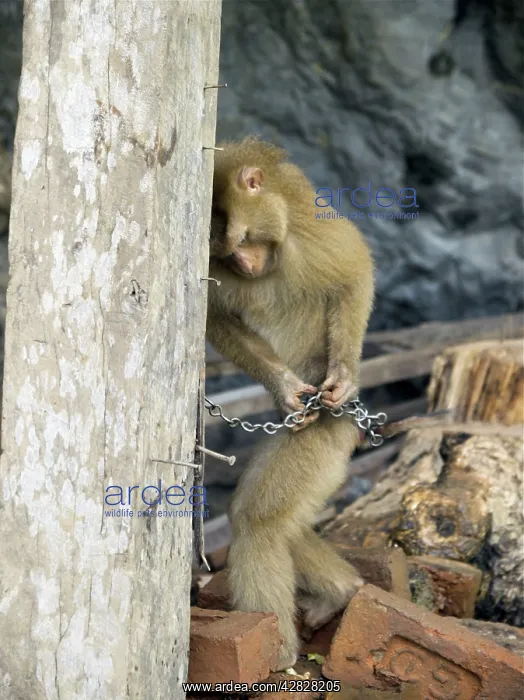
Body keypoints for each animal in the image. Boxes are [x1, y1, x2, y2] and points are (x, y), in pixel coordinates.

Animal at [206, 137, 374, 670]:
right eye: (228, 254)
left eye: (242, 238)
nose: (246, 266)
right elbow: (217, 320)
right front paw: (283, 387)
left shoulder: (312, 235)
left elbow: (354, 273)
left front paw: (342, 376)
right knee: (272, 516)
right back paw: (342, 590)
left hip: (324, 436)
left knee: (259, 521)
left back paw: (276, 657)